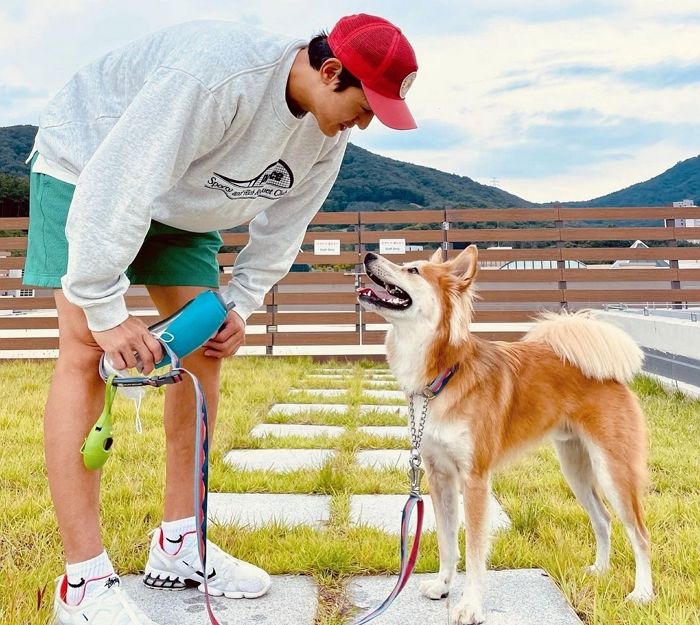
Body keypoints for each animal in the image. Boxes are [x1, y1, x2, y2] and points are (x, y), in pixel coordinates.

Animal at [358, 246, 652, 624]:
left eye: (413, 270)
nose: (368, 254)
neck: (445, 373)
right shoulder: (439, 476)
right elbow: (447, 541)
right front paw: (442, 585)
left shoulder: (474, 479)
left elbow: (473, 551)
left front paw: (470, 606)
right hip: (575, 468)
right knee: (602, 519)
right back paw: (599, 571)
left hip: (612, 470)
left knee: (640, 533)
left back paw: (642, 593)